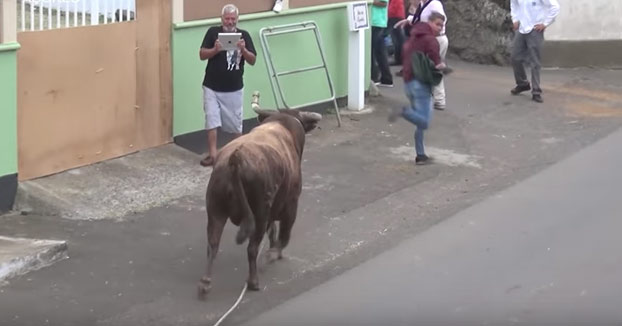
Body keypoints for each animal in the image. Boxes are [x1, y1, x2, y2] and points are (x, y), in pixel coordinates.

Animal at [199, 102, 322, 298]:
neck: (282, 124)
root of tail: (236, 159)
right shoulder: (291, 204)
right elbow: (284, 234)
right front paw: (273, 253)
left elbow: (273, 231)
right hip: (259, 214)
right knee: (251, 248)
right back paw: (253, 281)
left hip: (215, 210)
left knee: (213, 244)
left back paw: (205, 283)